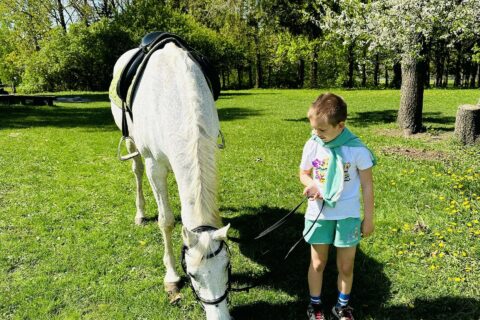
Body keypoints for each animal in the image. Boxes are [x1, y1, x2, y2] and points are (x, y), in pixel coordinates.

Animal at [111, 43, 233, 320]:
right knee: (136, 171)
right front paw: (171, 277)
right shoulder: (154, 166)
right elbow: (165, 221)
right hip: (133, 145)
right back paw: (140, 213)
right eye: (192, 275)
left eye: (227, 267)